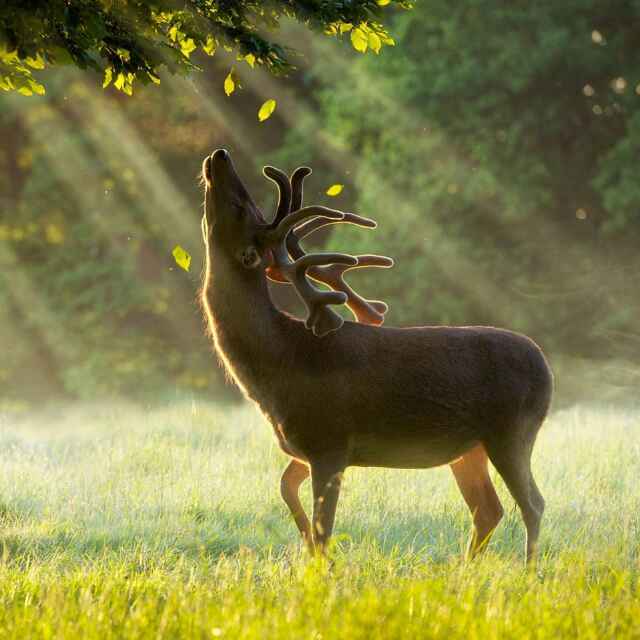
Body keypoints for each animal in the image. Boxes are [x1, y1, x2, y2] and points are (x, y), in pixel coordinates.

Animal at [201, 149, 556, 560]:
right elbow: (286, 489)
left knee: (532, 503)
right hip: (470, 447)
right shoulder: (306, 447)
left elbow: (324, 530)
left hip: (513, 430)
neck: (279, 364)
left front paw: (320, 565)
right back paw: (467, 568)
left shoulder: (330, 440)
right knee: (488, 508)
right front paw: (304, 547)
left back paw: (528, 569)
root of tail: (546, 367)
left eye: (240, 207)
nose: (220, 155)